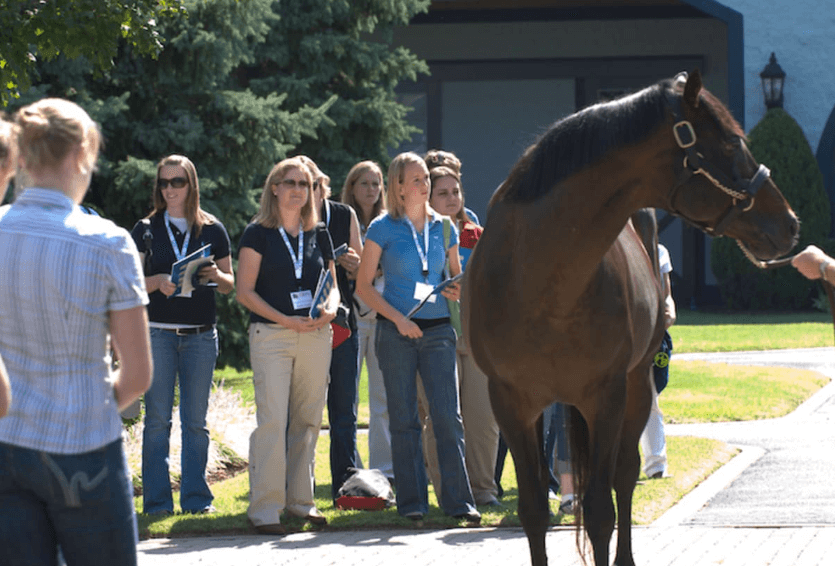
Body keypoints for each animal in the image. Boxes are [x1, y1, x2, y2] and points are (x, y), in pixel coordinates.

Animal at [462, 70, 798, 566]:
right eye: (733, 145)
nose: (790, 222)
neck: (541, 281)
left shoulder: (607, 395)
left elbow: (602, 510)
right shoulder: (511, 403)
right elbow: (533, 511)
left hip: (637, 385)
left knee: (624, 475)